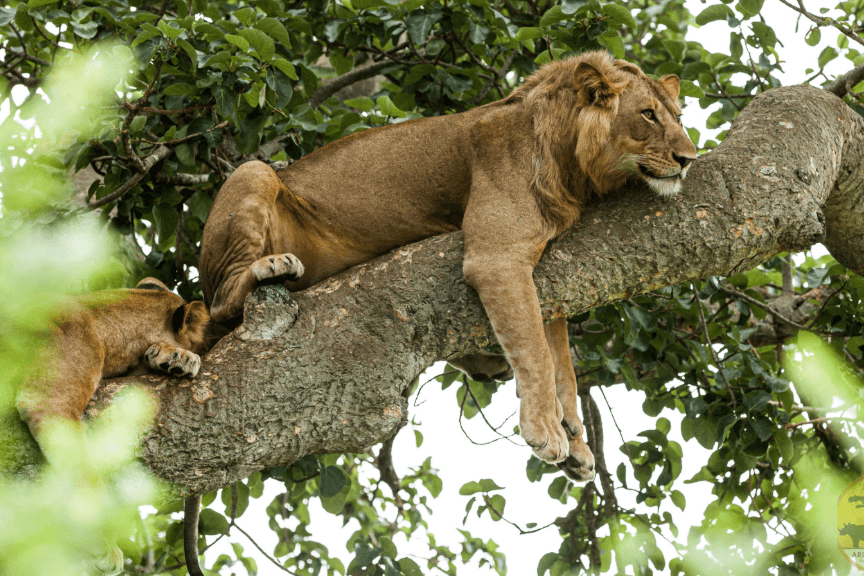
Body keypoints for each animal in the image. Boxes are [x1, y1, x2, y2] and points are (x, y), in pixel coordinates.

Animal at [199, 50, 698, 482]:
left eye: (678, 116)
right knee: (221, 303)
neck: (573, 164)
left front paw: (575, 440)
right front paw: (546, 430)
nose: (689, 159)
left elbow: (561, 363)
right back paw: (272, 267)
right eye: (648, 114)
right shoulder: (496, 254)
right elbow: (536, 351)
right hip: (253, 173)